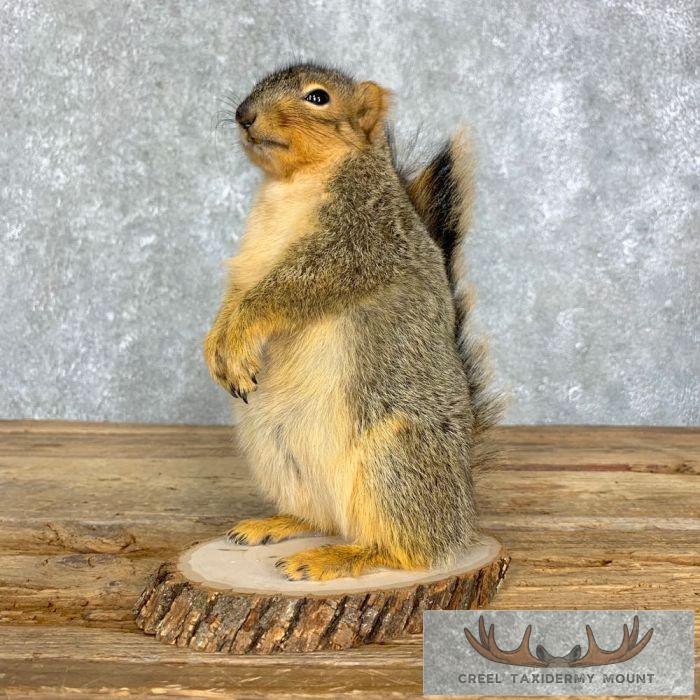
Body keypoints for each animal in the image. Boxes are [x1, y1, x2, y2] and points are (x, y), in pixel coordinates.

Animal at [204, 63, 503, 582]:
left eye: (317, 98)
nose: (244, 115)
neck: (291, 184)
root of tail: (463, 503)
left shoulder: (358, 241)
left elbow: (278, 296)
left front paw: (238, 336)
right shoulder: (251, 261)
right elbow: (237, 296)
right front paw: (217, 343)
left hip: (393, 460)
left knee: (411, 550)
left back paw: (337, 557)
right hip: (274, 449)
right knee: (321, 518)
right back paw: (278, 523)